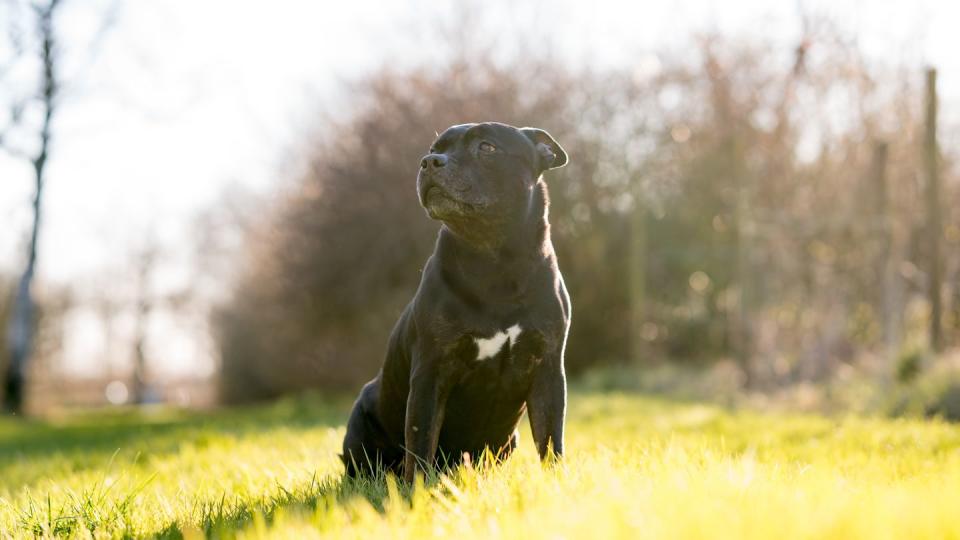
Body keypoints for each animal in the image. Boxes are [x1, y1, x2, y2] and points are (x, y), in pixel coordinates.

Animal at [342, 122, 568, 480]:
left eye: (487, 147)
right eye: (435, 148)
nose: (430, 162)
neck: (495, 261)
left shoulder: (547, 370)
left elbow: (550, 440)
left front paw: (555, 481)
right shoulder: (431, 371)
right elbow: (421, 441)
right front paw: (418, 489)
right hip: (361, 419)